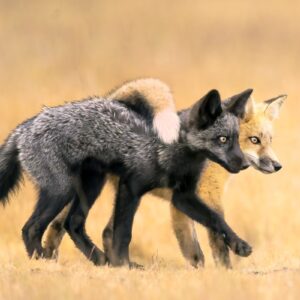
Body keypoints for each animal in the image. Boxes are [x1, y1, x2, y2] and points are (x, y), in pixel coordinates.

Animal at [0, 81, 252, 268]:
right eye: (222, 139)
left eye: (236, 139)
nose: (245, 164)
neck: (170, 152)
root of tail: (26, 126)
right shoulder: (130, 187)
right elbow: (123, 232)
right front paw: (123, 264)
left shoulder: (183, 197)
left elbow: (216, 219)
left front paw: (239, 244)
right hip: (62, 191)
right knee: (31, 228)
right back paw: (42, 261)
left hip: (91, 186)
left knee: (73, 223)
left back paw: (100, 260)